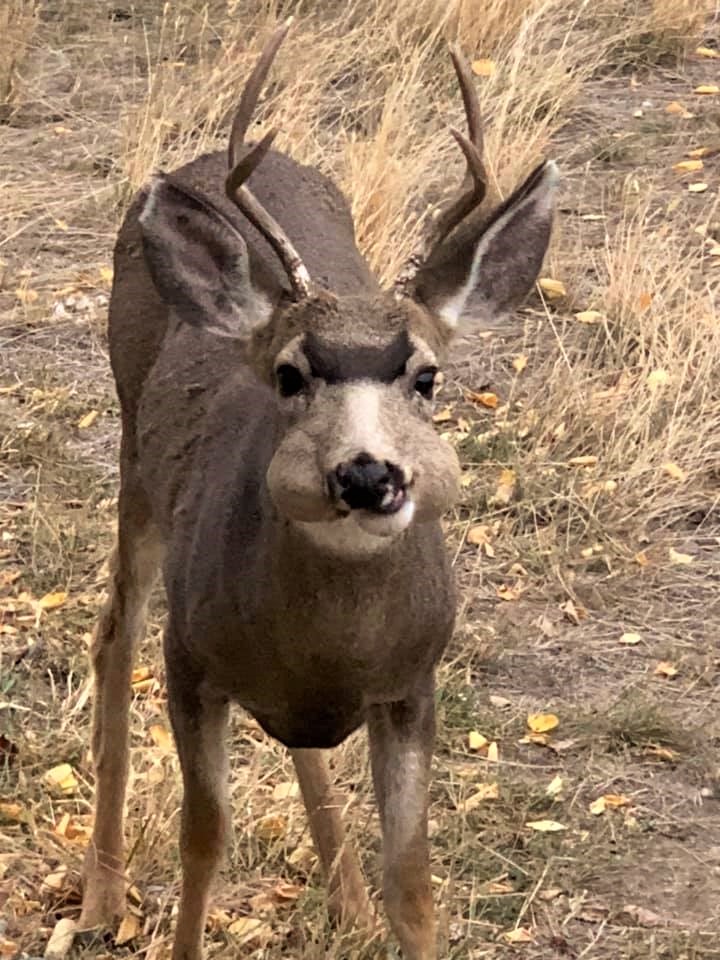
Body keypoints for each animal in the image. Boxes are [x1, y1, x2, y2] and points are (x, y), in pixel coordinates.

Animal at [77, 16, 556, 960]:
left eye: (427, 376)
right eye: (291, 375)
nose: (367, 474)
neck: (331, 643)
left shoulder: (412, 684)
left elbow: (415, 881)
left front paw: (381, 902)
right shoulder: (191, 662)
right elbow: (203, 841)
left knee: (303, 744)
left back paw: (348, 902)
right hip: (136, 467)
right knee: (115, 635)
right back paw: (102, 897)